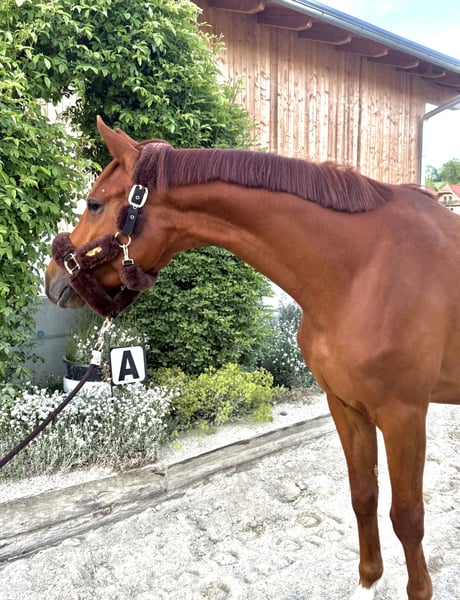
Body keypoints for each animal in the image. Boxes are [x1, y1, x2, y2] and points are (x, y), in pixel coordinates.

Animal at [45, 117, 460, 600]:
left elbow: (408, 519)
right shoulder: (346, 406)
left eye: (94, 203)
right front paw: (368, 581)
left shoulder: (403, 416)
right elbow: (363, 497)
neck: (363, 270)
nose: (52, 280)